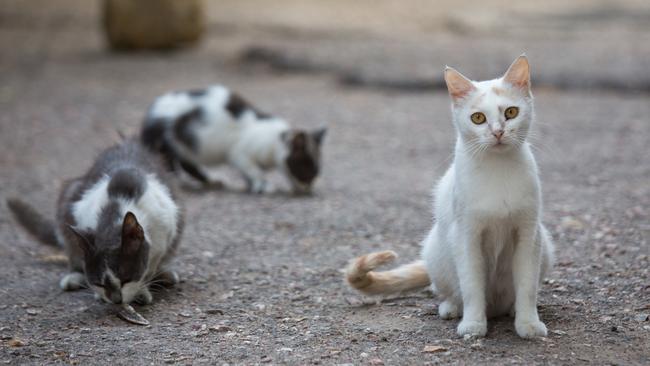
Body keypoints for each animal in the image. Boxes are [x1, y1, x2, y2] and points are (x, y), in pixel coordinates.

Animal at [140, 85, 326, 194]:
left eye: (316, 172)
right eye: (306, 168)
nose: (308, 187)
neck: (275, 140)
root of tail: (150, 114)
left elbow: (249, 172)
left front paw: (252, 184)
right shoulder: (239, 153)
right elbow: (253, 169)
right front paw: (262, 185)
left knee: (187, 164)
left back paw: (209, 181)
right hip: (165, 141)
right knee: (169, 162)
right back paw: (178, 182)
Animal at [346, 55, 556, 338]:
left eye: (511, 113)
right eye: (478, 118)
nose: (498, 132)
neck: (497, 169)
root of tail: (496, 308)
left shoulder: (528, 233)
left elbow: (526, 285)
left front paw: (529, 324)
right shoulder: (466, 235)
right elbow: (472, 284)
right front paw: (473, 324)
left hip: (545, 245)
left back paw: (511, 310)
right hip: (436, 249)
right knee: (449, 290)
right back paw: (452, 308)